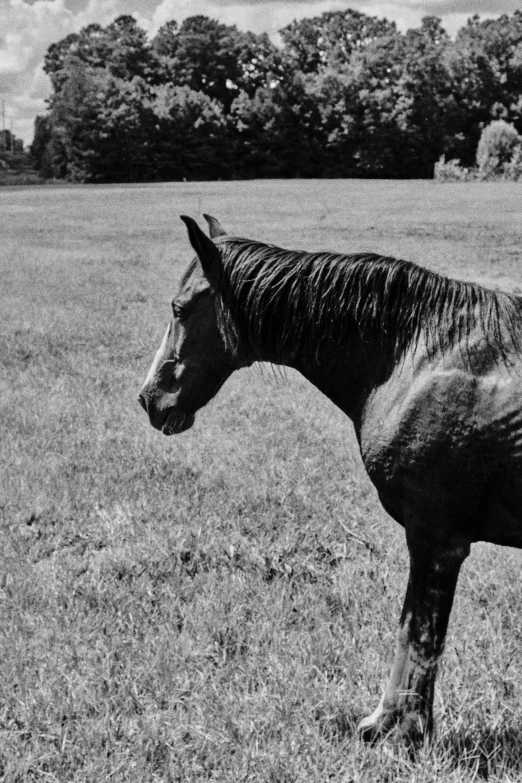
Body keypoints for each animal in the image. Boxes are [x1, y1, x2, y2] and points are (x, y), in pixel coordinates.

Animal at [137, 214, 520, 748]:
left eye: (179, 308)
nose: (148, 398)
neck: (421, 353)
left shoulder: (436, 539)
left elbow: (418, 633)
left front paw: (398, 729)